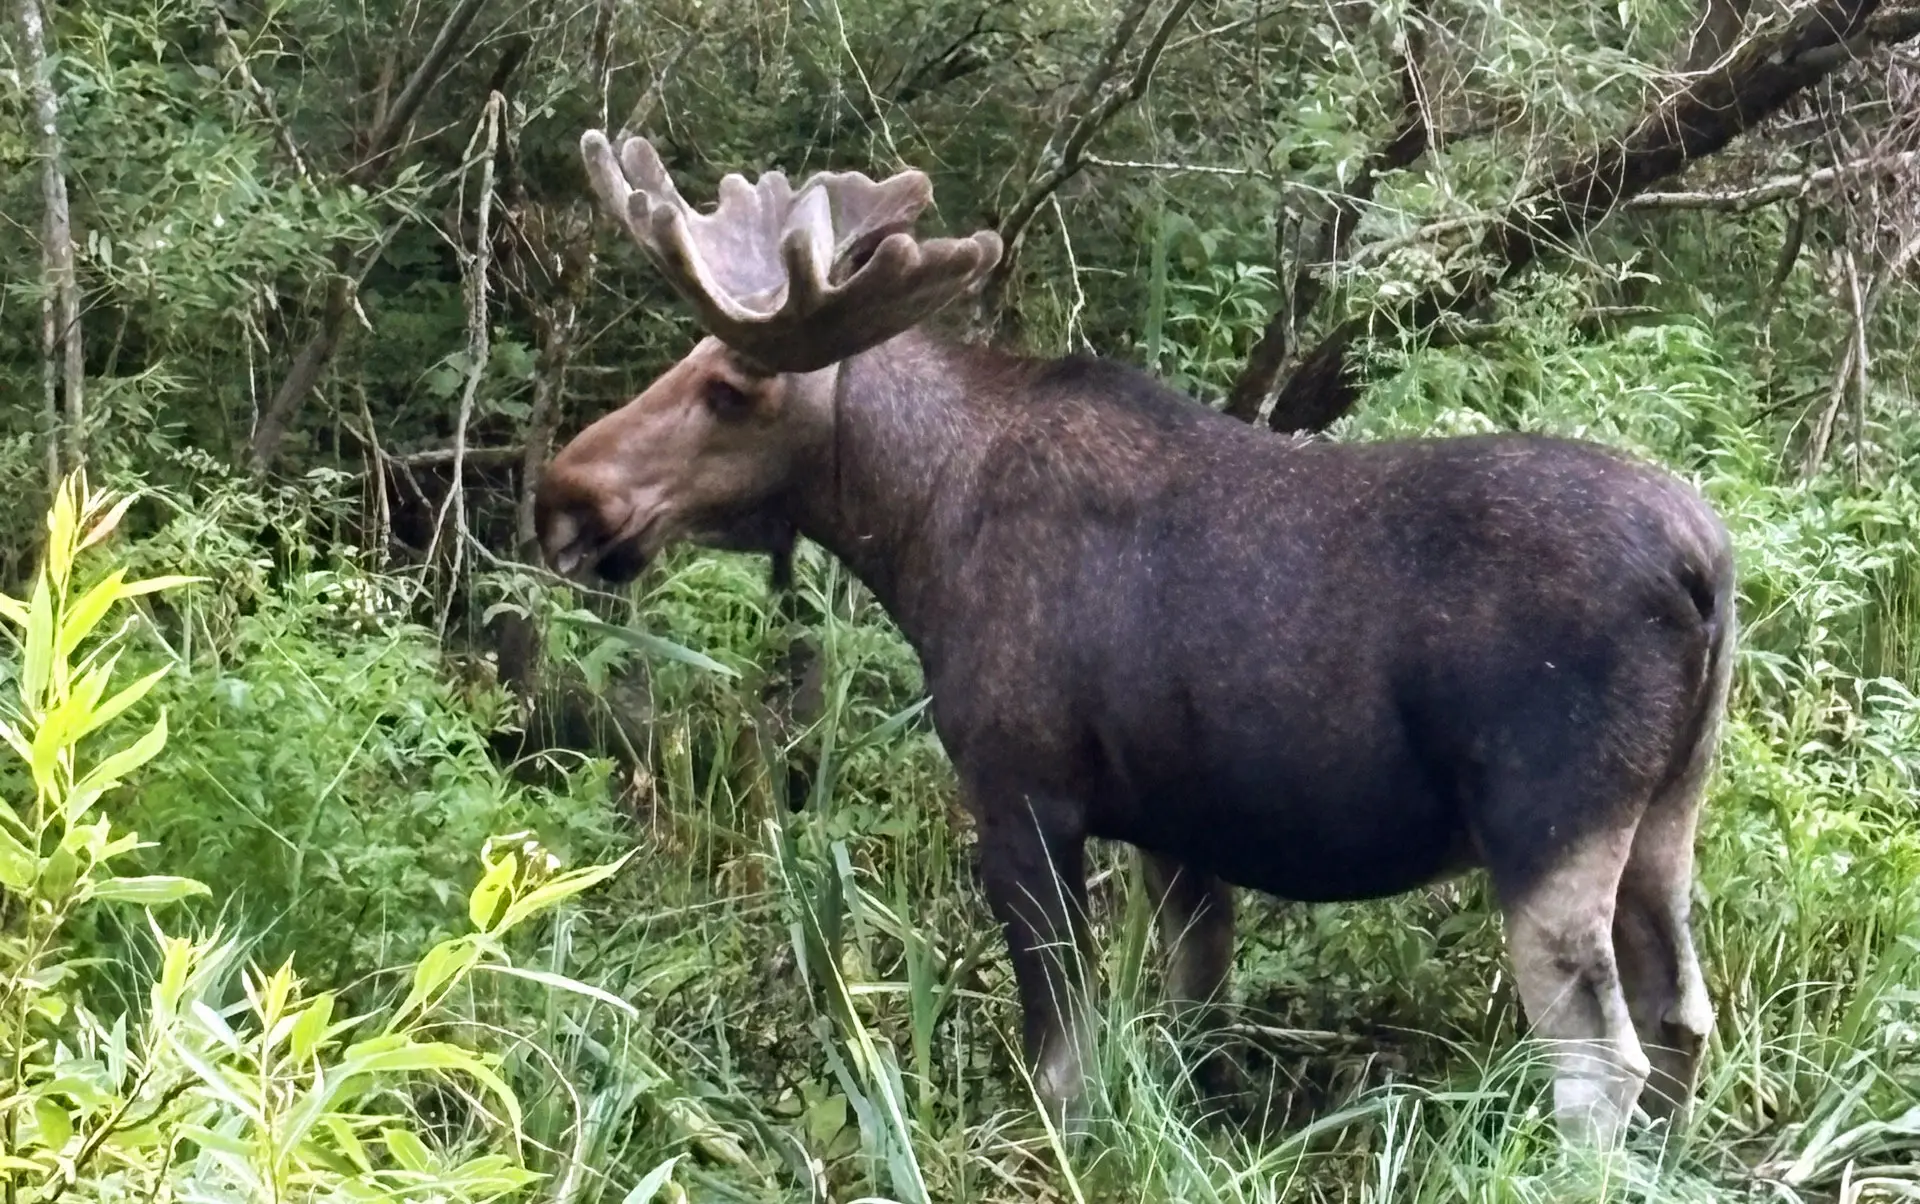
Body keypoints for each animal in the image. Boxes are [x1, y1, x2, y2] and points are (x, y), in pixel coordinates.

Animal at [534, 129, 1737, 1148]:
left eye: (732, 386)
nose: (565, 496)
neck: (915, 527)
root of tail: (1707, 568)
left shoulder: (1022, 793)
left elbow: (1063, 1067)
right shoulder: (1179, 830)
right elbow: (1193, 1032)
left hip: (1547, 821)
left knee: (1600, 1064)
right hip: (1668, 816)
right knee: (1684, 1017)